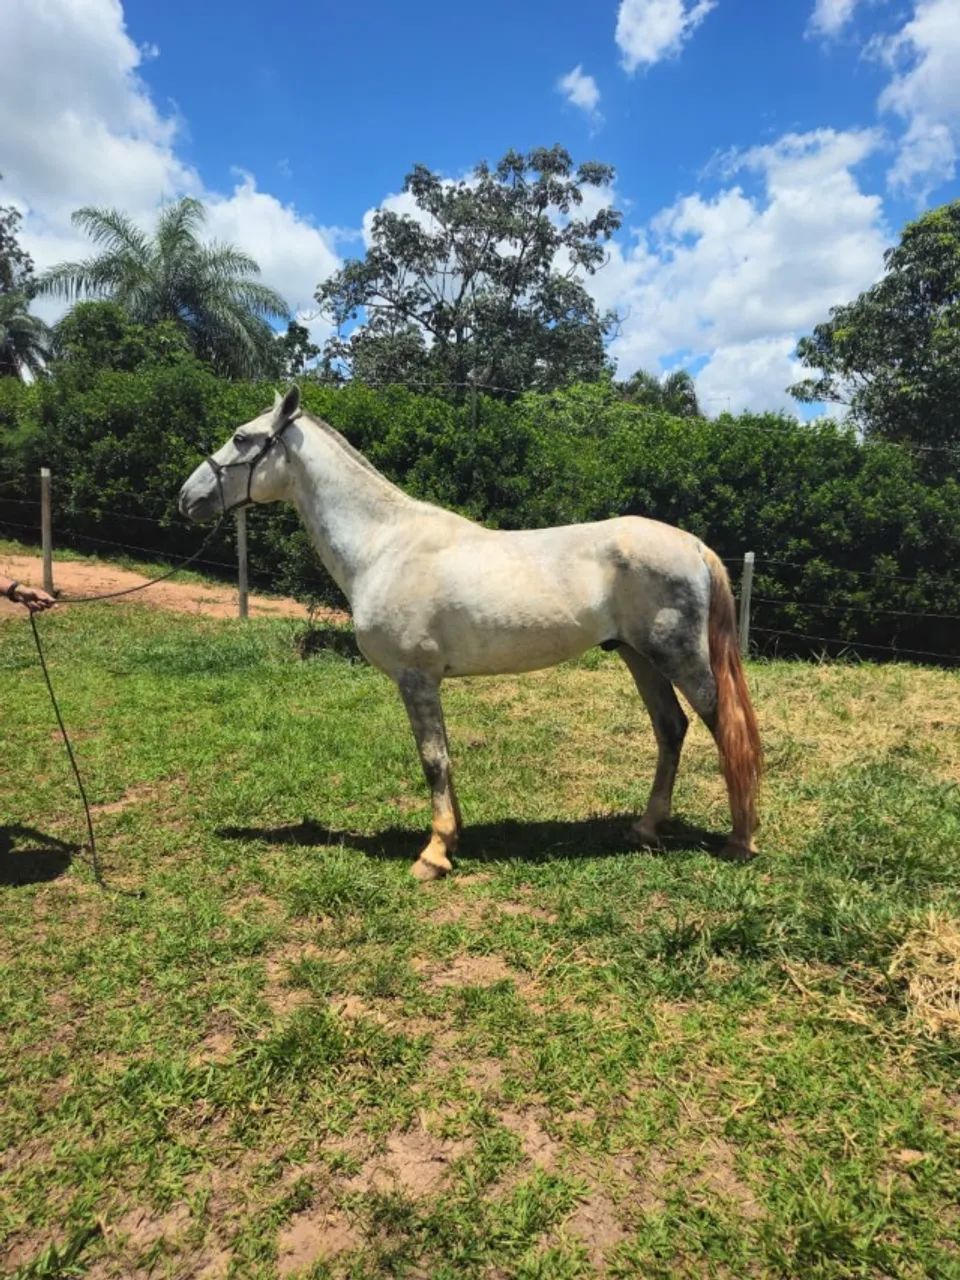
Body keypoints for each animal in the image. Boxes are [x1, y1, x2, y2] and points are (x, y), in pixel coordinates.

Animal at [179, 386, 762, 880]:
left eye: (241, 437)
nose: (186, 497)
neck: (384, 545)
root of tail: (693, 545)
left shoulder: (415, 677)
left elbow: (432, 760)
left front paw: (433, 855)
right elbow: (445, 756)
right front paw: (452, 838)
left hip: (680, 659)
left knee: (724, 728)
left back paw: (741, 840)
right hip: (639, 657)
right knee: (671, 729)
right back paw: (645, 829)